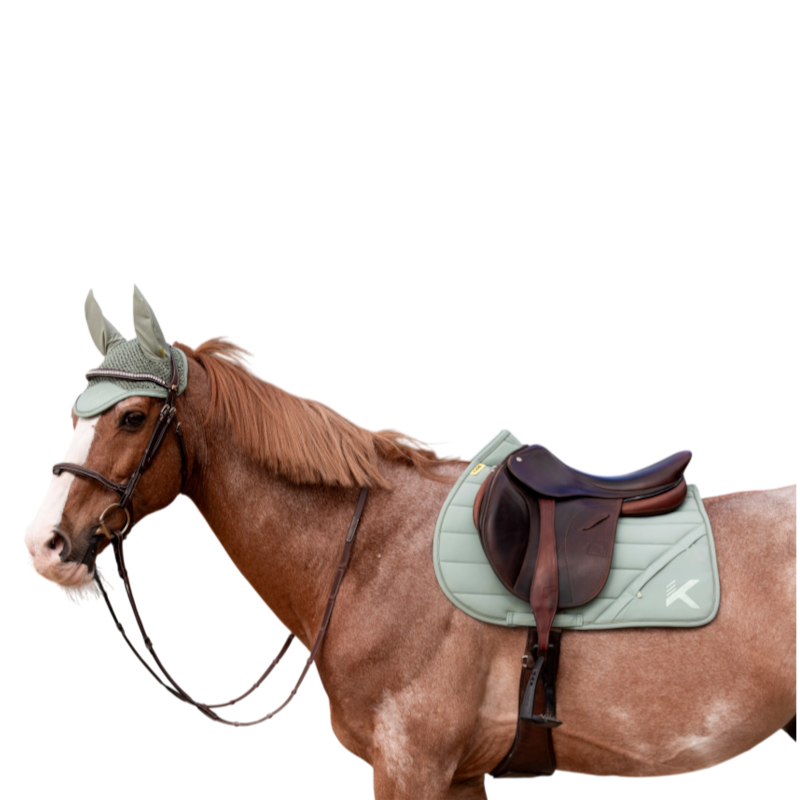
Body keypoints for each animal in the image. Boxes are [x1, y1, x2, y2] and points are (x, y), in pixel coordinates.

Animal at [23, 285, 797, 799]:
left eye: (131, 417)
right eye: (74, 412)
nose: (44, 545)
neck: (371, 555)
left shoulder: (412, 764)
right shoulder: (456, 775)